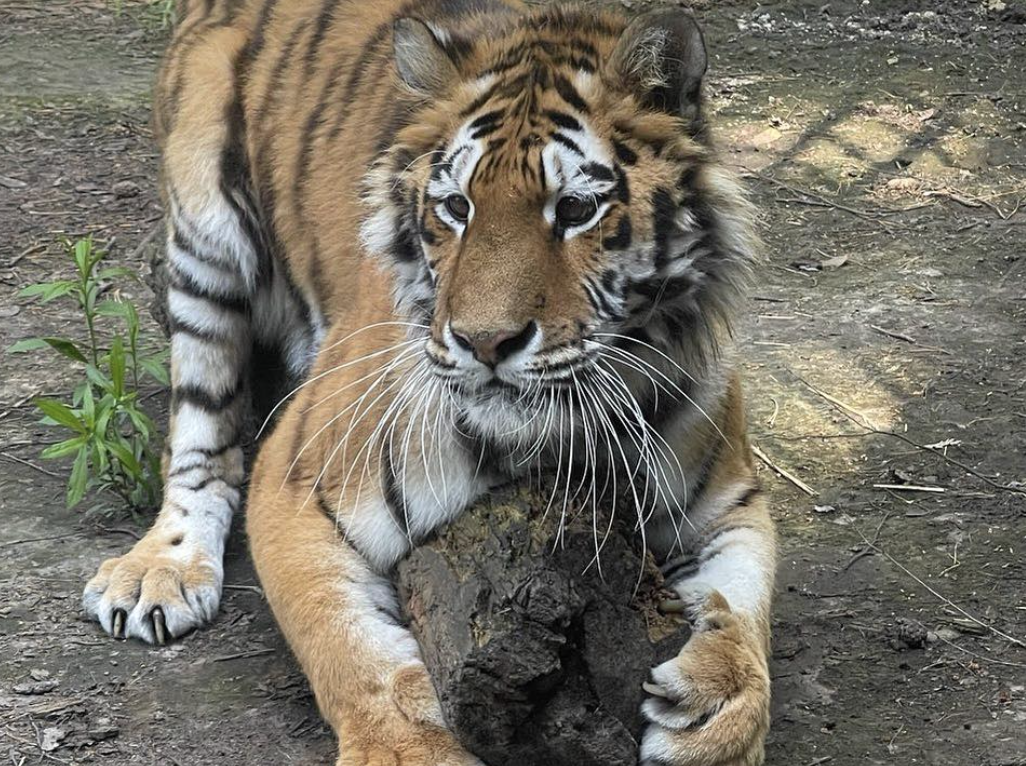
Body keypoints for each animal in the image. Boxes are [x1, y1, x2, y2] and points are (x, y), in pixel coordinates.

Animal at [81, 1, 776, 764]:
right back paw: (161, 569)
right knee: (200, 441)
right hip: (204, 243)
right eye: (456, 207)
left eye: (574, 210)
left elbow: (748, 613)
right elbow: (349, 651)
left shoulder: (731, 500)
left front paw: (717, 711)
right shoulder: (296, 482)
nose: (485, 342)